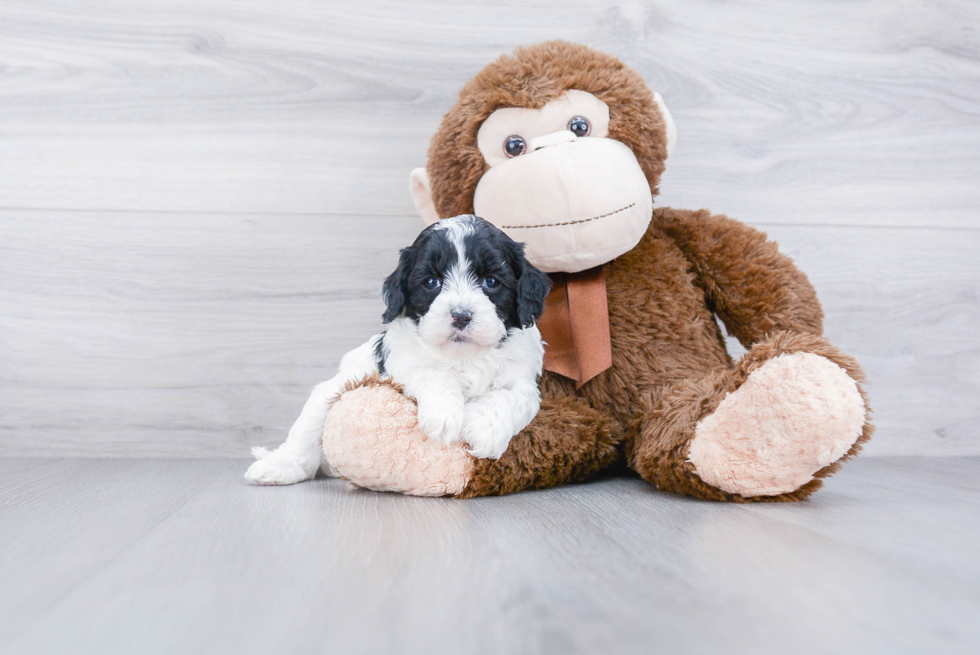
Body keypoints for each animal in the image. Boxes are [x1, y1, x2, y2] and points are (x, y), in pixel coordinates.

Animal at [245, 215, 552, 486]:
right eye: (431, 282)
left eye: (491, 282)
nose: (461, 315)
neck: (463, 356)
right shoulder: (399, 361)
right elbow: (432, 372)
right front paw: (443, 414)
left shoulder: (523, 379)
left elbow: (511, 396)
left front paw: (483, 429)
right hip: (327, 395)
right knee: (305, 437)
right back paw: (277, 466)